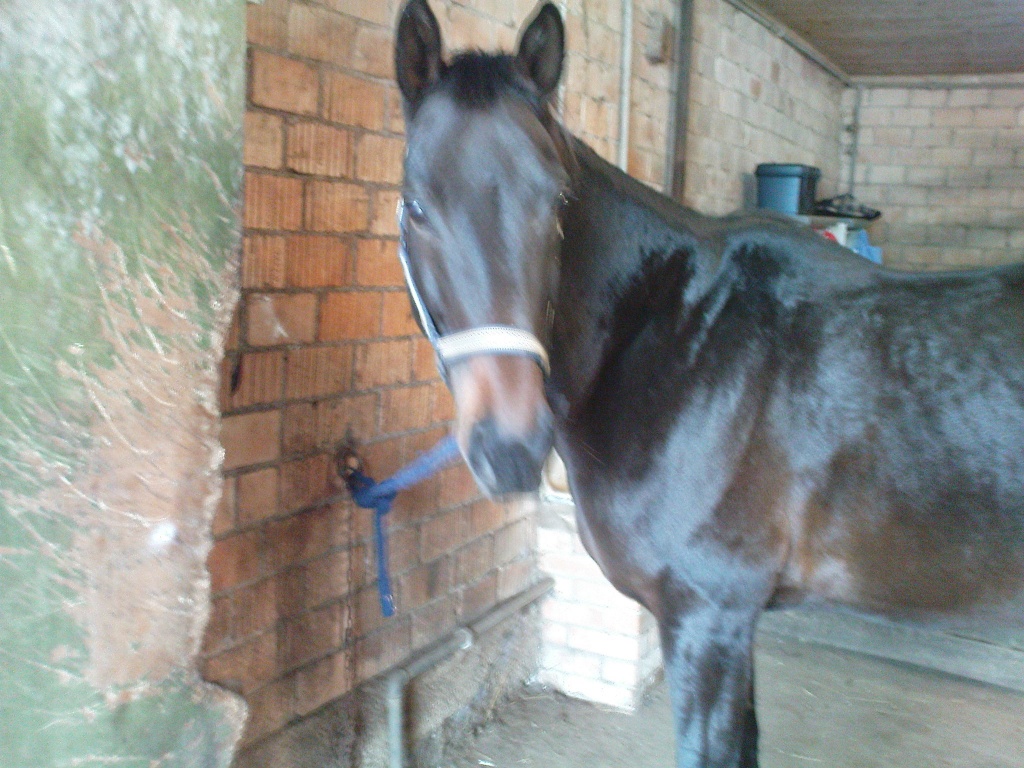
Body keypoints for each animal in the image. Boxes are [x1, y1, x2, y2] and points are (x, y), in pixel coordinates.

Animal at [392, 2, 1024, 765]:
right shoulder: (730, 624)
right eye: (416, 205)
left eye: (558, 202)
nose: (511, 448)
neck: (679, 337)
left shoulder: (708, 618)